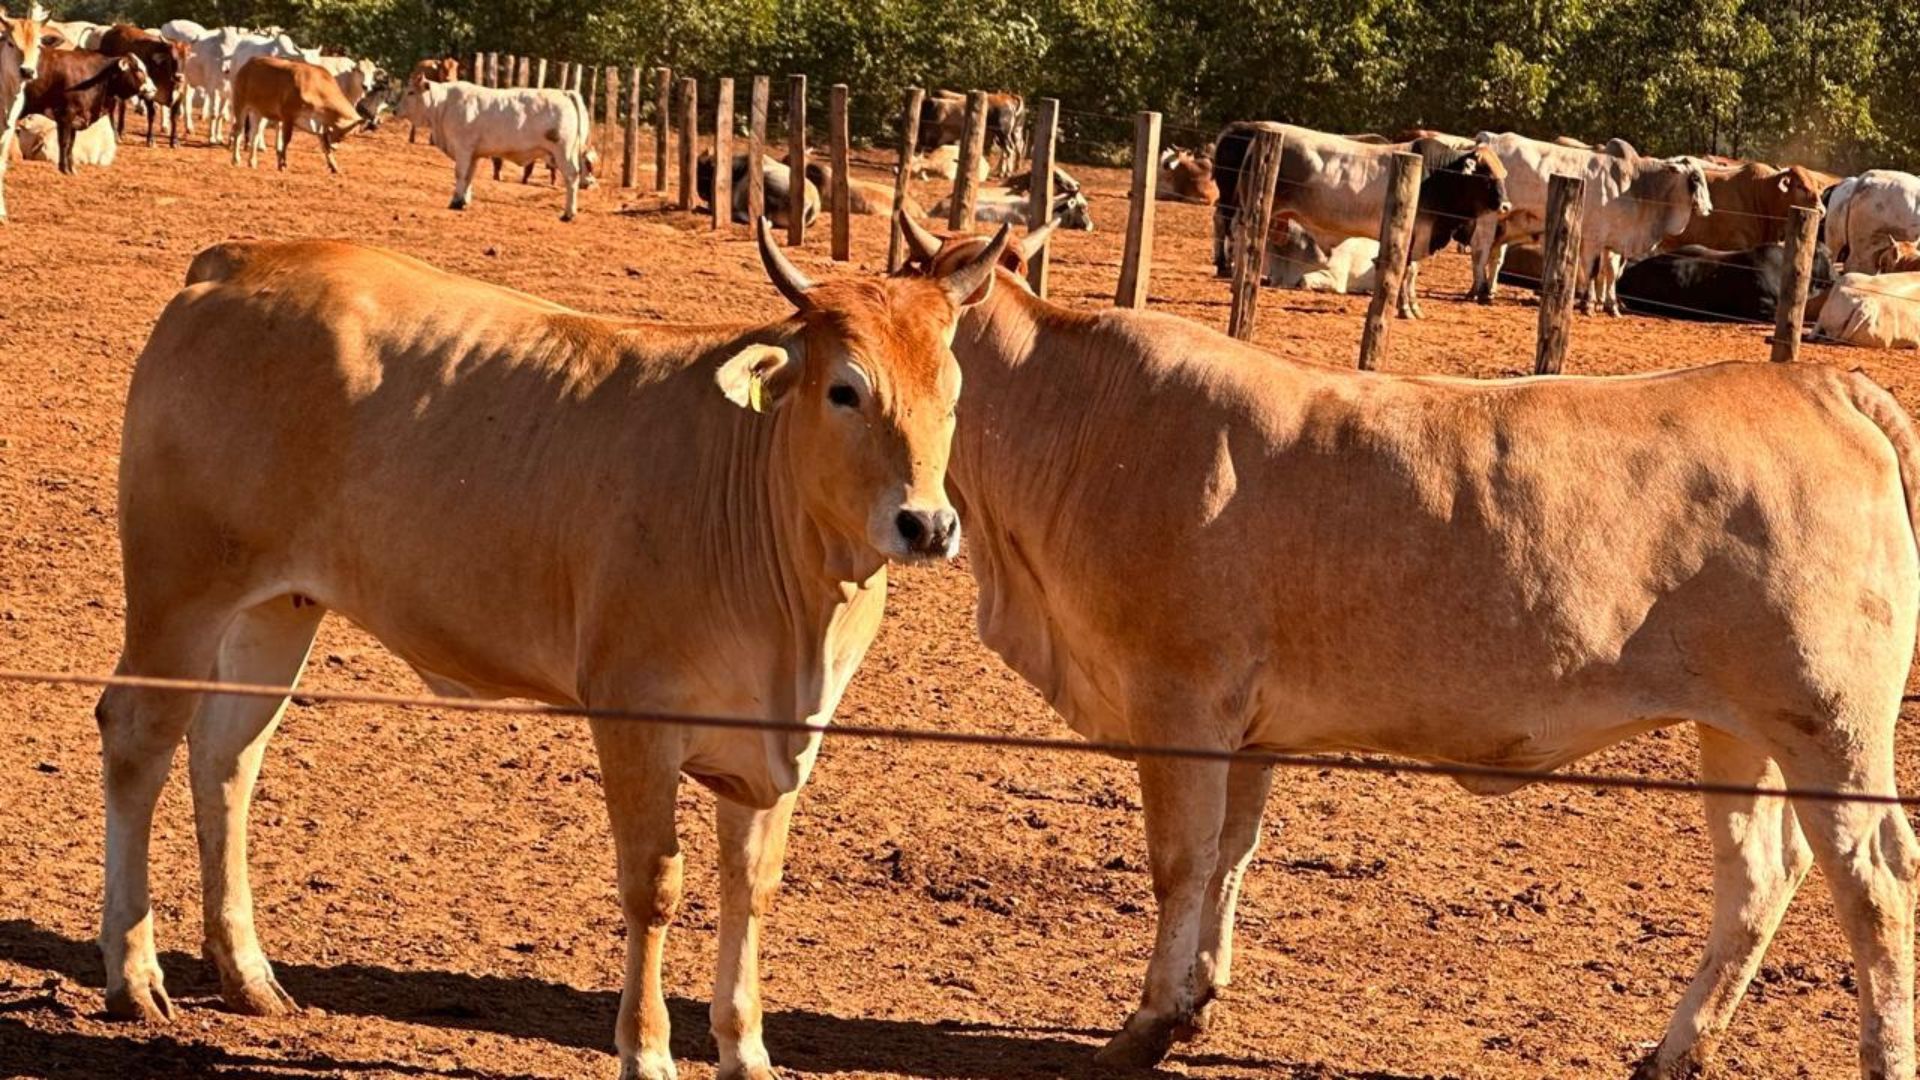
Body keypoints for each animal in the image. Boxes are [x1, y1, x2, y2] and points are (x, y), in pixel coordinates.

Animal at [97, 219, 1013, 1076]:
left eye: (953, 392)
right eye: (845, 390)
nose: (927, 525)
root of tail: (238, 261)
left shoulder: (783, 742)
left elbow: (750, 886)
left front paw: (746, 1049)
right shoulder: (634, 720)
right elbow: (654, 887)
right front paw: (646, 1051)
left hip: (279, 606)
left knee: (227, 757)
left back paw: (247, 974)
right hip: (179, 586)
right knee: (138, 740)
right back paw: (134, 976)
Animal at [1213, 123, 1512, 315]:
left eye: (1503, 174)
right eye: (1487, 175)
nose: (1506, 206)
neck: (1437, 175)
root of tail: (1255, 139)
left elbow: (1410, 272)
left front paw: (1413, 307)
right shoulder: (1412, 235)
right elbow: (1405, 272)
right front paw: (1404, 309)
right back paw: (1238, 281)